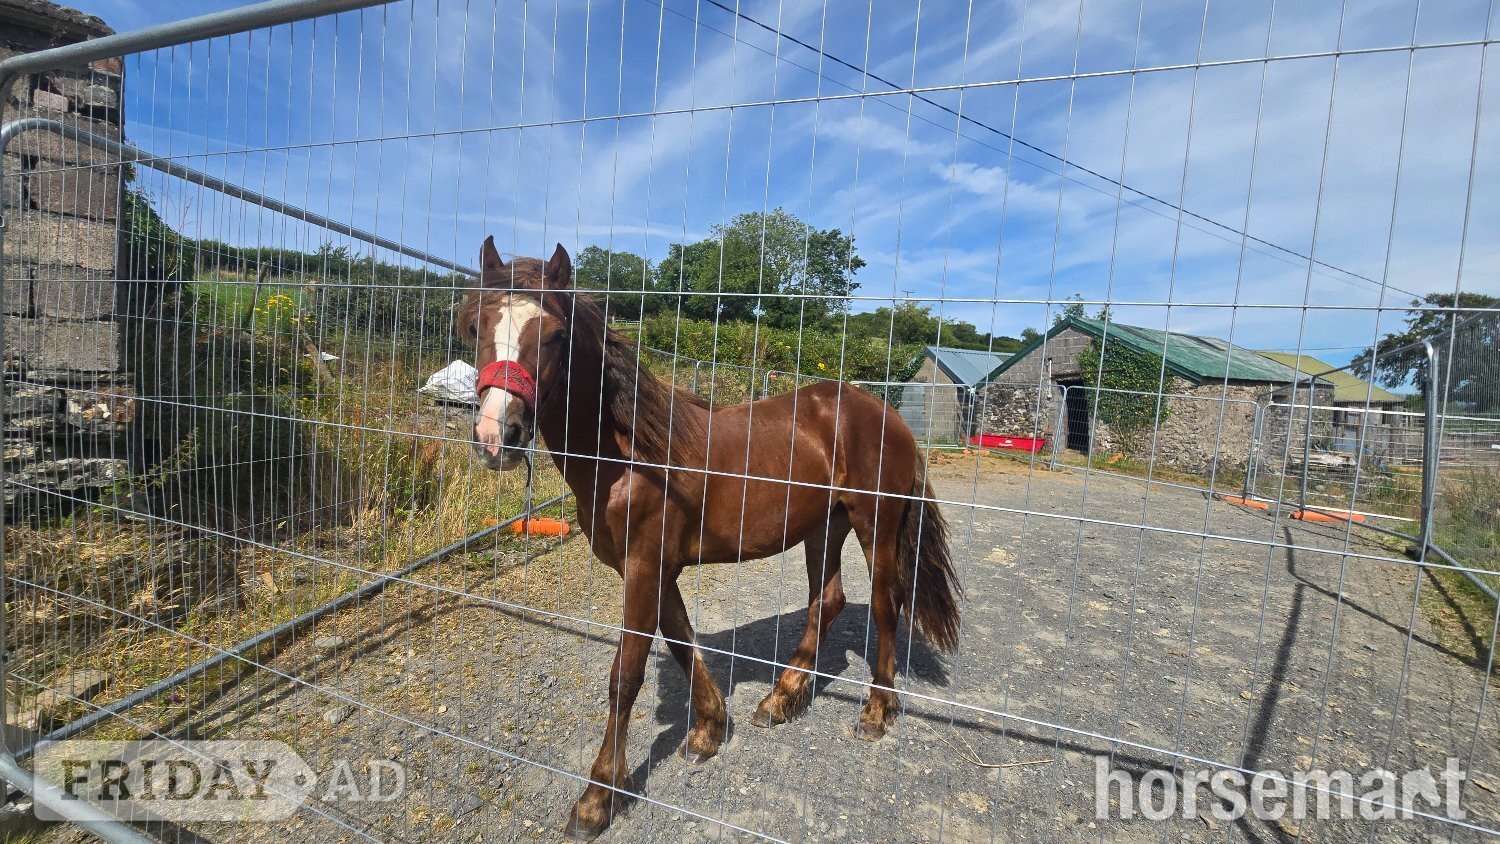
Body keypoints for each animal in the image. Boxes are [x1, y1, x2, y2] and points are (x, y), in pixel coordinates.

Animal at [457, 238, 961, 839]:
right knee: (828, 601)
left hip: (874, 526)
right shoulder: (654, 570)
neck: (630, 456)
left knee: (886, 607)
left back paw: (877, 712)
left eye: (555, 334)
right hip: (824, 527)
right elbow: (681, 641)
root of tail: (887, 414)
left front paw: (598, 797)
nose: (497, 437)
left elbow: (625, 675)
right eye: (477, 325)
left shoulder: (646, 567)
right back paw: (781, 699)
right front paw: (709, 730)